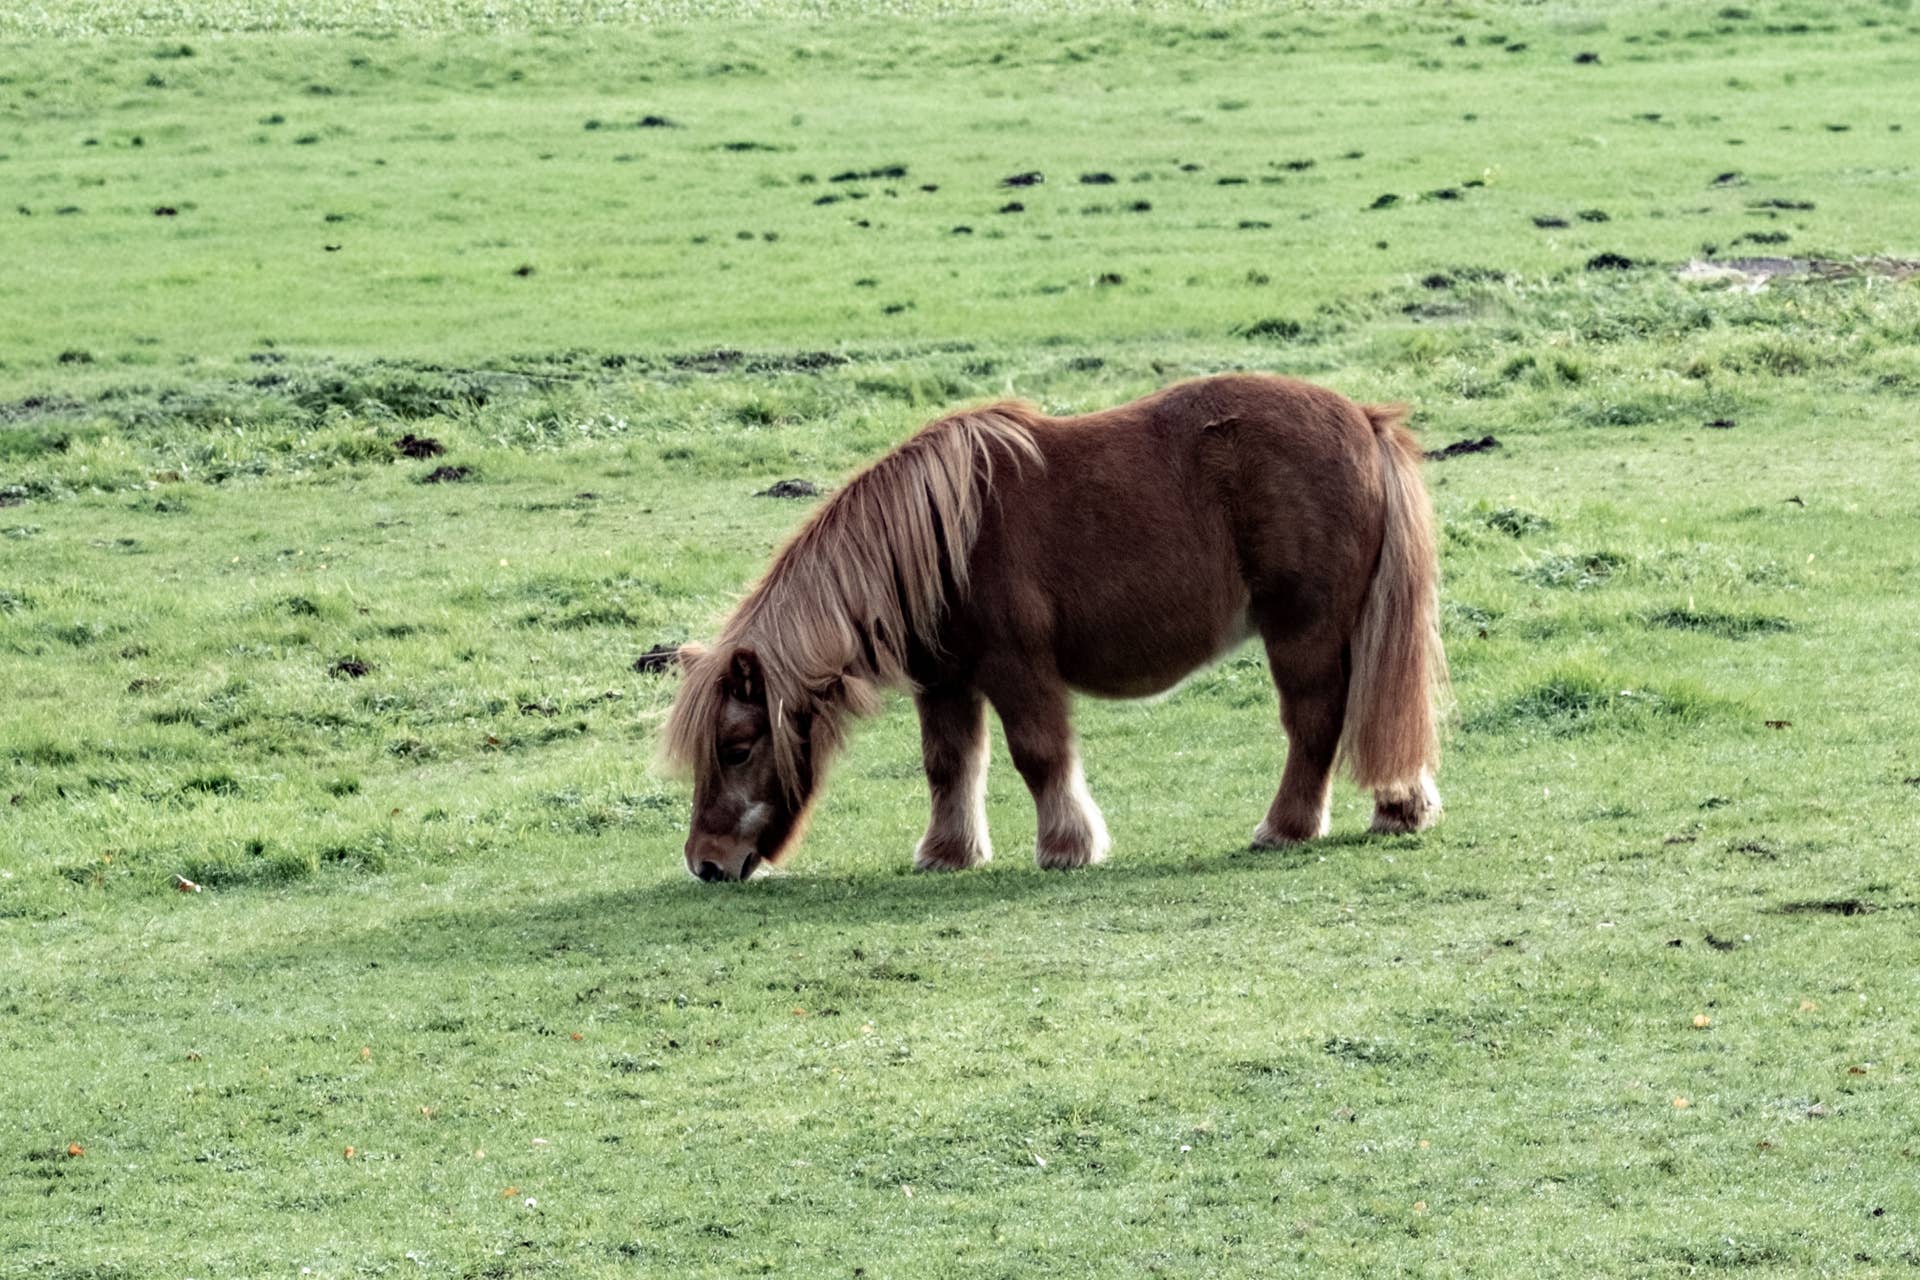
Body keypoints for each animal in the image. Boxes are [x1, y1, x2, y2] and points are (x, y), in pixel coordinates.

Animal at [663, 373, 1447, 882]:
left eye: (736, 747)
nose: (706, 864)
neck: (943, 540)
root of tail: (1364, 419)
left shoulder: (1018, 668)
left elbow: (1039, 756)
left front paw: (1067, 847)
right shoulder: (944, 683)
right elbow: (949, 765)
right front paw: (947, 854)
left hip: (1302, 632)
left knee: (1316, 720)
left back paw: (1285, 829)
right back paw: (1400, 808)